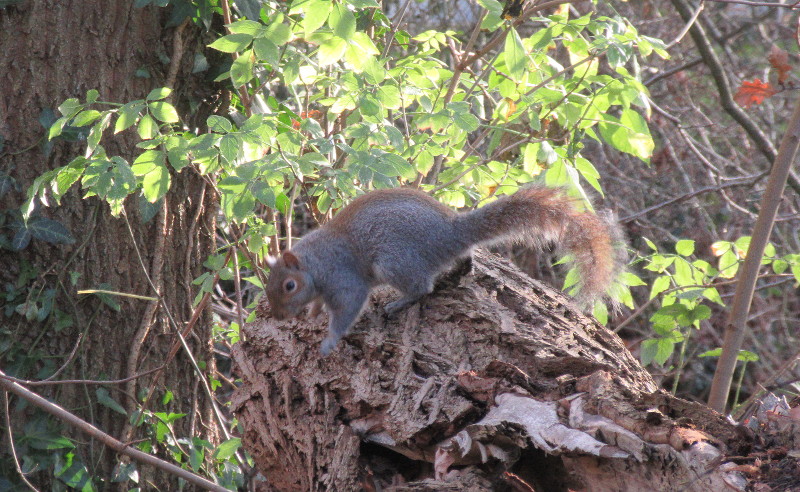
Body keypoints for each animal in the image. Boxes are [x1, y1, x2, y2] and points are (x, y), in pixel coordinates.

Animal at [264, 186, 624, 356]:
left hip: (395, 261)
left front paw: (329, 341)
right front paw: (313, 313)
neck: (316, 263)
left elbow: (349, 308)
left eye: (289, 286)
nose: (278, 318)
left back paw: (398, 303)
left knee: (422, 288)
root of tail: (451, 232)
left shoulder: (344, 278)